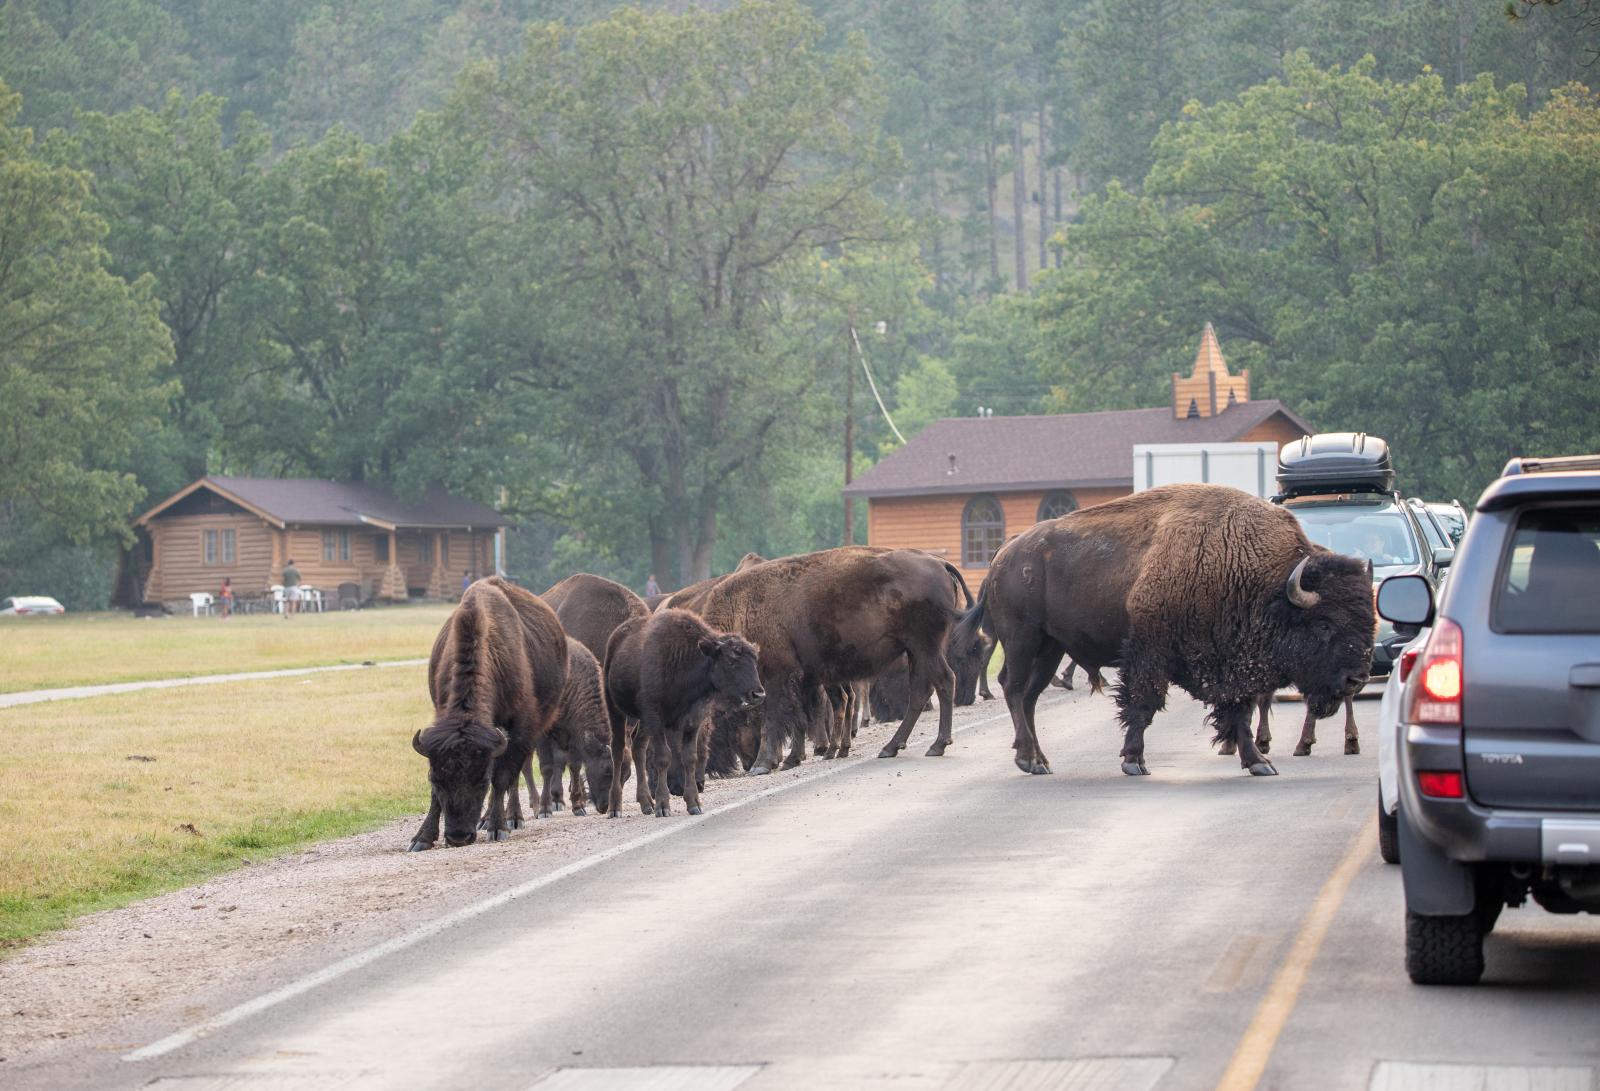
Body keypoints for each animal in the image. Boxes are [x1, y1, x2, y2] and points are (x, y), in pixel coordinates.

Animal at [409, 572, 566, 844]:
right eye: (436, 779)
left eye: (481, 780)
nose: (458, 836)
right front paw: (423, 838)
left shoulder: (519, 728)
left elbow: (502, 778)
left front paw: (498, 827)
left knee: (516, 773)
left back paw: (513, 818)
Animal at [604, 607, 768, 812]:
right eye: (731, 661)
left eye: (754, 660)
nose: (758, 694)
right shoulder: (656, 719)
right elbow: (663, 757)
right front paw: (663, 806)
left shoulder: (693, 720)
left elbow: (689, 757)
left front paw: (693, 804)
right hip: (616, 711)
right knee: (618, 751)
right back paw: (615, 807)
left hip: (642, 723)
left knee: (638, 750)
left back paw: (646, 804)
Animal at [665, 543, 966, 774]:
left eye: (714, 719)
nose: (709, 769)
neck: (743, 609)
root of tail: (939, 562)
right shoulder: (802, 677)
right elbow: (799, 716)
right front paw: (792, 759)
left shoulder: (775, 676)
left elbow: (774, 718)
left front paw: (764, 764)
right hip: (916, 651)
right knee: (920, 692)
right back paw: (890, 747)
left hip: (925, 646)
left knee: (944, 682)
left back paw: (936, 745)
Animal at [947, 483, 1376, 774]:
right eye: (1324, 624)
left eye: (1367, 619)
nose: (1357, 678)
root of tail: (1002, 556)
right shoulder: (1150, 652)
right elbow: (1144, 703)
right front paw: (1134, 761)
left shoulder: (1231, 666)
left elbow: (1239, 711)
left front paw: (1259, 763)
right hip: (1023, 640)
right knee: (1013, 687)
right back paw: (1028, 759)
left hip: (1051, 648)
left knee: (1030, 696)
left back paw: (1040, 760)